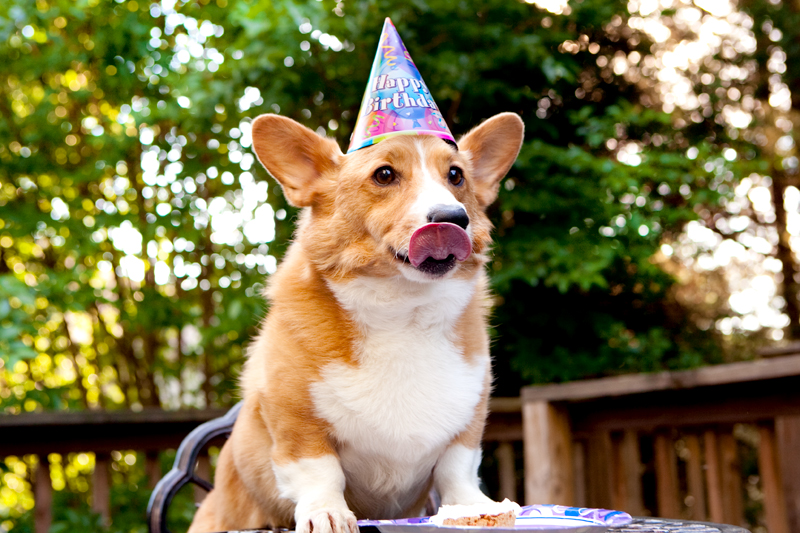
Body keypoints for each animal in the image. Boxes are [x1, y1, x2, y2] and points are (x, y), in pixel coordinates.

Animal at [188, 111, 524, 532]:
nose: (454, 217)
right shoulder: (298, 425)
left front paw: (472, 507)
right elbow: (321, 472)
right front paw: (327, 512)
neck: (403, 314)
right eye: (384, 175)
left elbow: (457, 469)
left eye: (456, 175)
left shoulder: (467, 423)